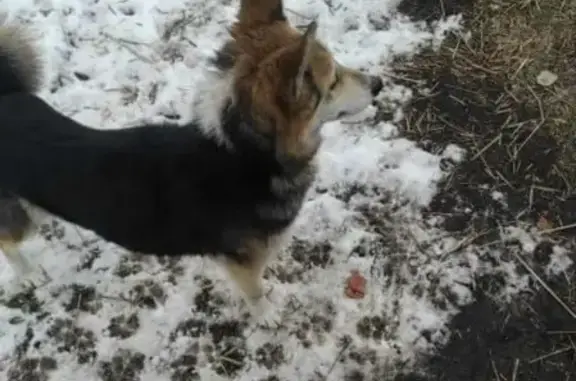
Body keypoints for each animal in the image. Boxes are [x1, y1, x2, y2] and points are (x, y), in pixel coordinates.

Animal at [0, 0, 382, 324]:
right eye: (333, 81)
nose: (379, 83)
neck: (245, 156)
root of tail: (7, 99)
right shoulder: (243, 264)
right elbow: (256, 293)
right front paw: (267, 316)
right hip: (18, 219)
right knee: (9, 242)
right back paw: (28, 274)